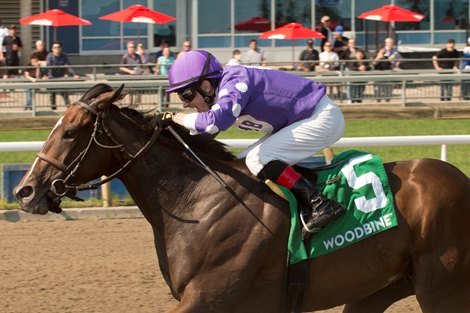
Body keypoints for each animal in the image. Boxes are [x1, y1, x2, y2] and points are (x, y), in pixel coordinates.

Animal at [12, 83, 470, 312]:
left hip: (443, 289)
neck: (198, 202)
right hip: (375, 290)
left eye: (71, 132)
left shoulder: (209, 299)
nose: (25, 190)